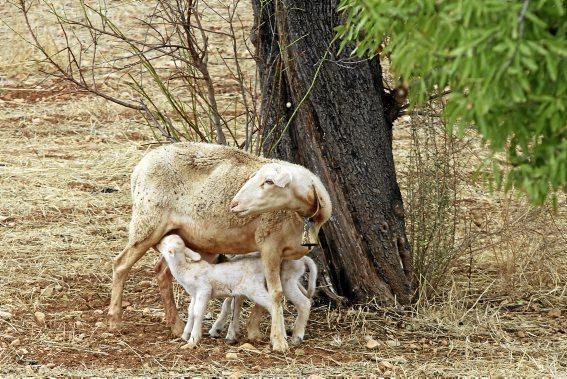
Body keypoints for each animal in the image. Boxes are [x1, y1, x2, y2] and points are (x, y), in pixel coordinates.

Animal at [155, 235, 320, 350]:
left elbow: (198, 313)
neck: (186, 269)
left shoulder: (204, 290)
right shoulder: (195, 294)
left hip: (258, 288)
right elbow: (191, 312)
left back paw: (287, 337)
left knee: (281, 304)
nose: (157, 243)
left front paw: (194, 339)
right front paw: (185, 335)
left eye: (164, 243)